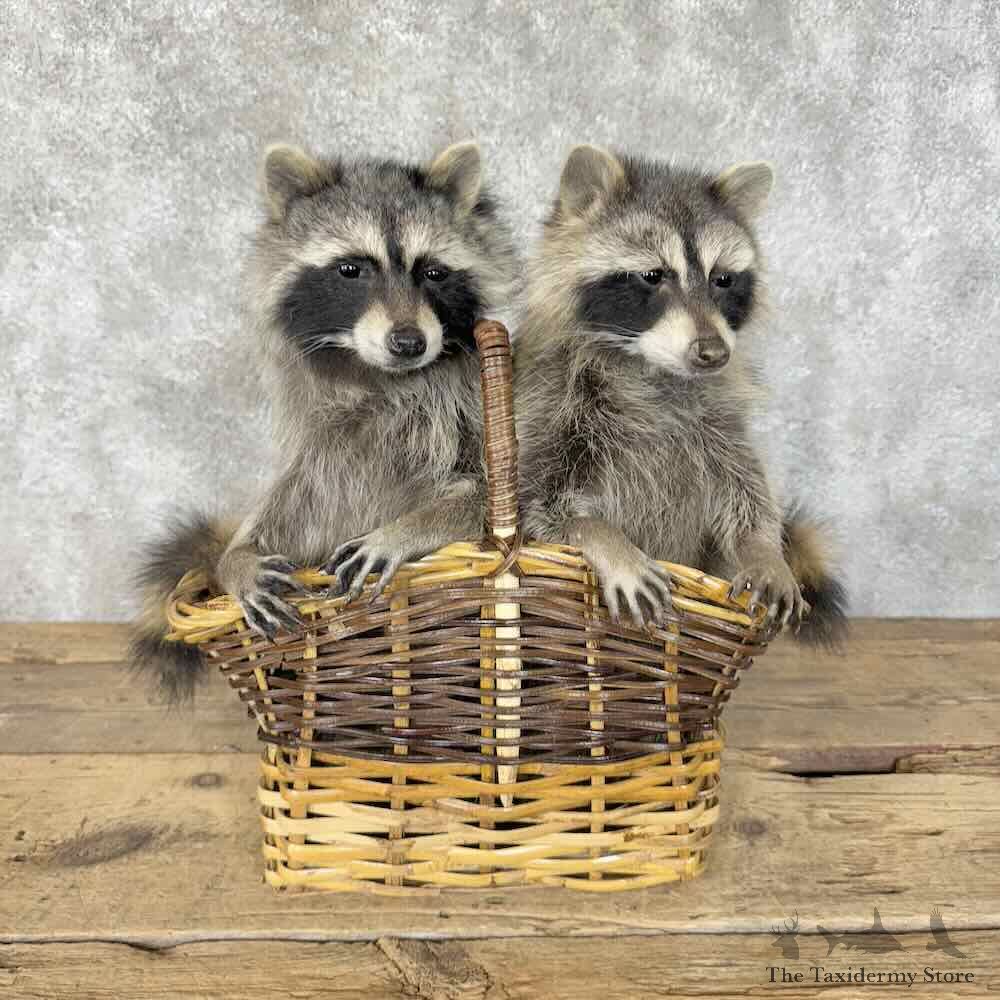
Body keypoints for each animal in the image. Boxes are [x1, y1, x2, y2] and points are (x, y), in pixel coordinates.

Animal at [131, 141, 518, 701]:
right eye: (351, 269)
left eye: (432, 272)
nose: (409, 342)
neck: (378, 376)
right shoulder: (325, 452)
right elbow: (280, 518)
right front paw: (235, 560)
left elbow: (491, 500)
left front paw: (403, 530)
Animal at [515, 145, 847, 645]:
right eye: (653, 275)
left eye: (723, 279)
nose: (713, 352)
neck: (652, 368)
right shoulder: (546, 405)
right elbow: (540, 508)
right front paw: (606, 540)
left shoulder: (720, 419)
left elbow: (747, 489)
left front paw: (764, 550)